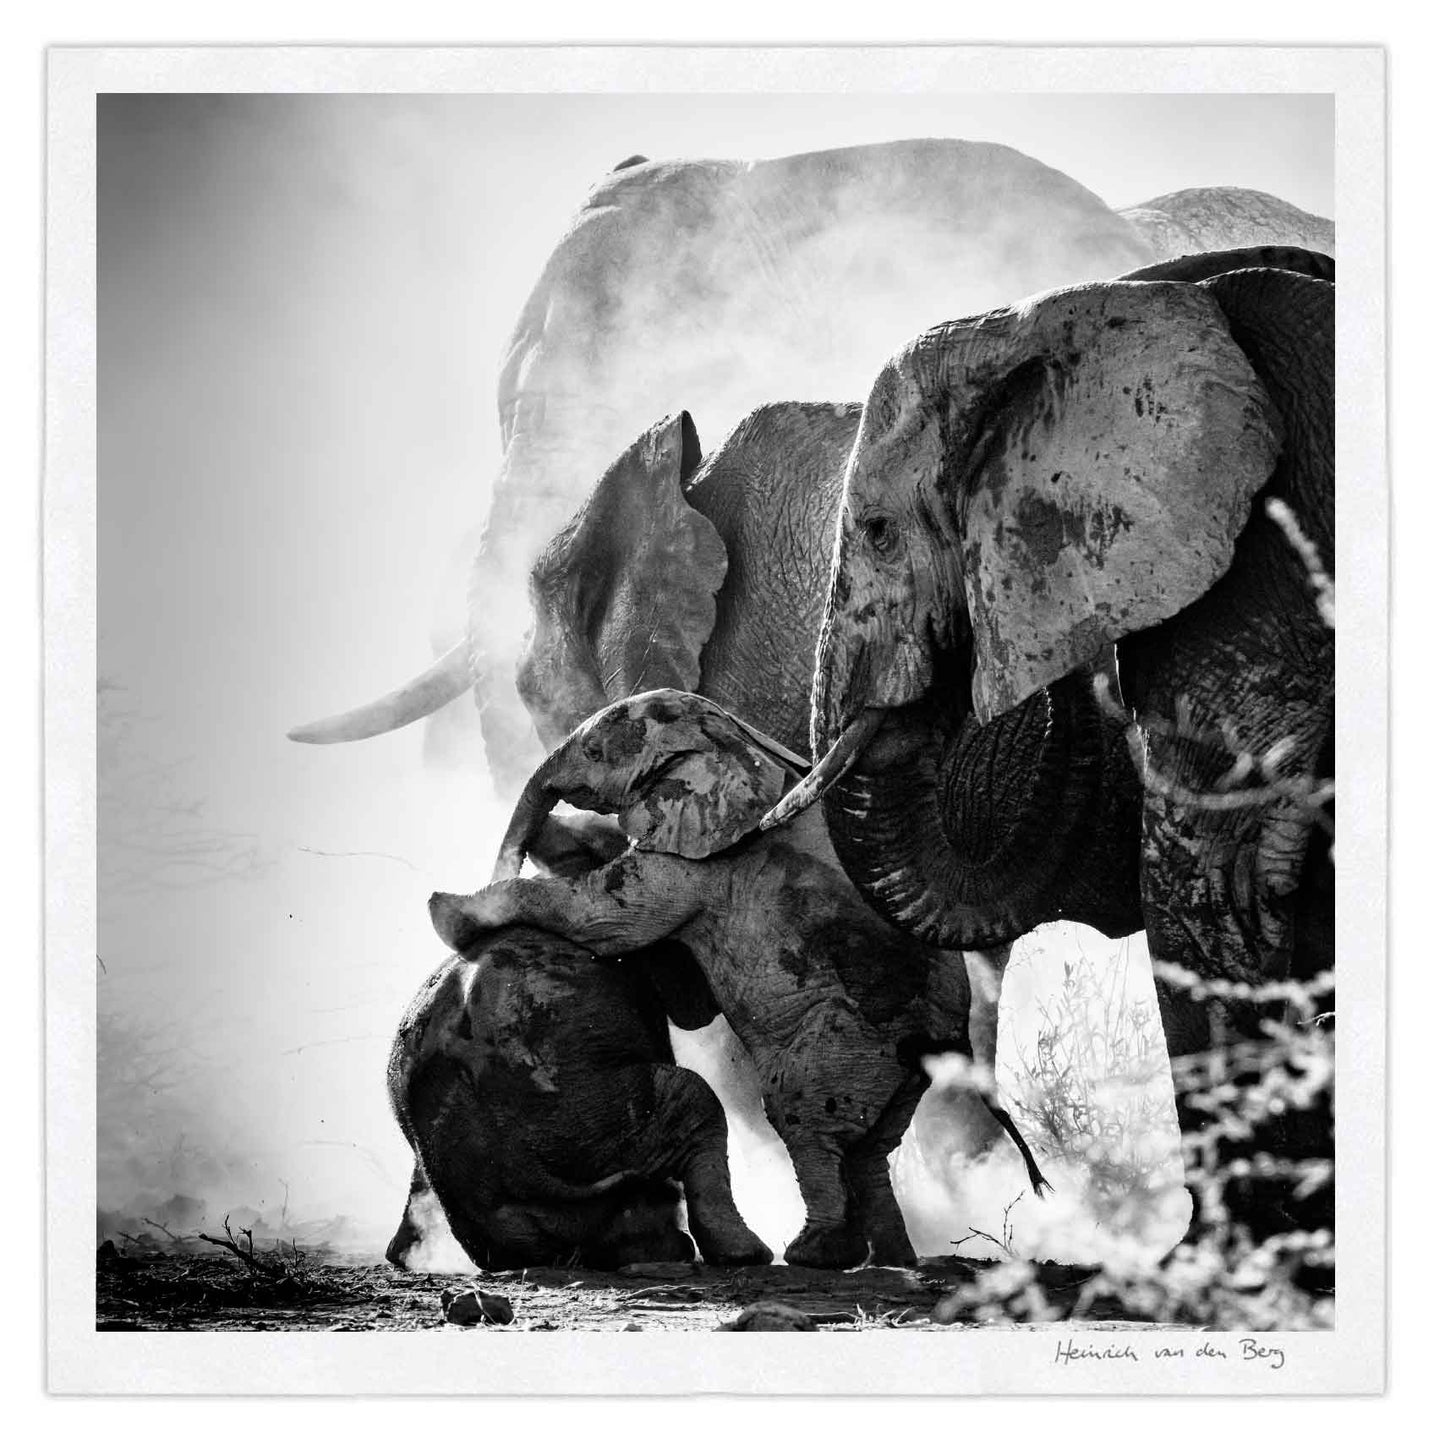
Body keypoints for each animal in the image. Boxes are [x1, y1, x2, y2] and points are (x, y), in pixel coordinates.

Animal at [430, 689, 1048, 1269]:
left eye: (597, 751)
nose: (505, 853)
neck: (729, 737)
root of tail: (946, 1042)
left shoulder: (695, 864)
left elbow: (605, 917)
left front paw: (449, 910)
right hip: (890, 1068)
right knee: (873, 1146)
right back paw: (891, 1256)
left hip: (842, 1036)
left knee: (803, 1115)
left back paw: (813, 1253)